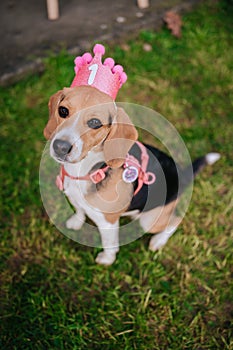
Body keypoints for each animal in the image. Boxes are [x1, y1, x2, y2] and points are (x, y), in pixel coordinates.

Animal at [43, 85, 220, 266]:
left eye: (95, 123)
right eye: (63, 111)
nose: (60, 147)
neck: (86, 170)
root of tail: (182, 172)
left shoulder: (108, 223)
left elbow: (109, 243)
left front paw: (107, 259)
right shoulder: (74, 197)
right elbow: (79, 210)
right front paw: (76, 221)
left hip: (149, 221)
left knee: (175, 220)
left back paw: (158, 240)